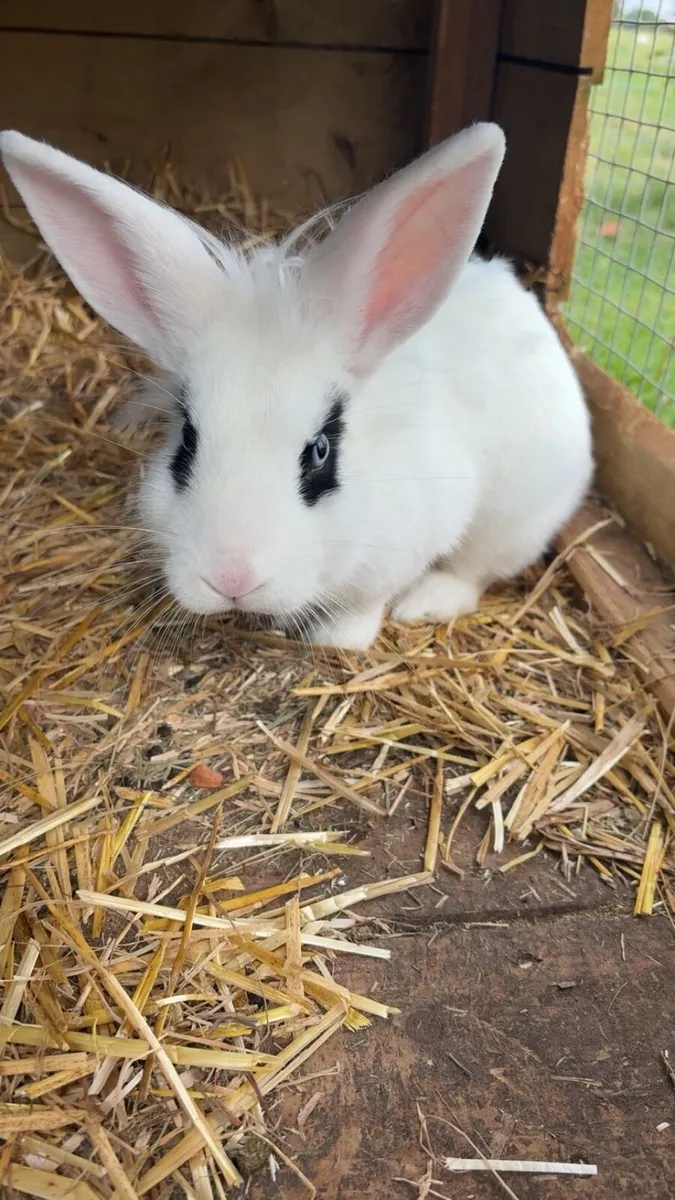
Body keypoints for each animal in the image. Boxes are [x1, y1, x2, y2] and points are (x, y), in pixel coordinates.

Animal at [0, 124, 592, 650]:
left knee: (476, 571)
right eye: (186, 443)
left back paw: (427, 600)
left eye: (321, 451)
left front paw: (335, 640)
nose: (231, 580)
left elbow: (363, 607)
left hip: (516, 516)